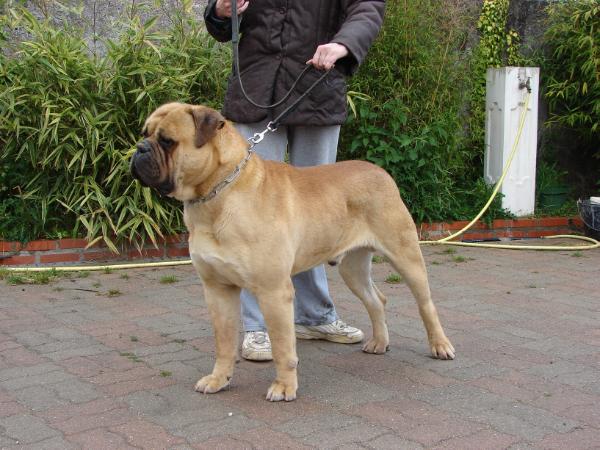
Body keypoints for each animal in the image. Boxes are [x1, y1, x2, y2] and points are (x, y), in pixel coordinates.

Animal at [131, 103, 454, 402]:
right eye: (145, 133)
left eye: (167, 141)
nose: (139, 149)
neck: (218, 193)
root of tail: (381, 172)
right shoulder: (217, 289)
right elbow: (223, 343)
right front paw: (218, 379)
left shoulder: (274, 291)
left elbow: (283, 346)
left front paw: (284, 387)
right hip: (353, 268)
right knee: (377, 300)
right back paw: (379, 343)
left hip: (406, 256)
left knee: (426, 304)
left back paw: (440, 346)